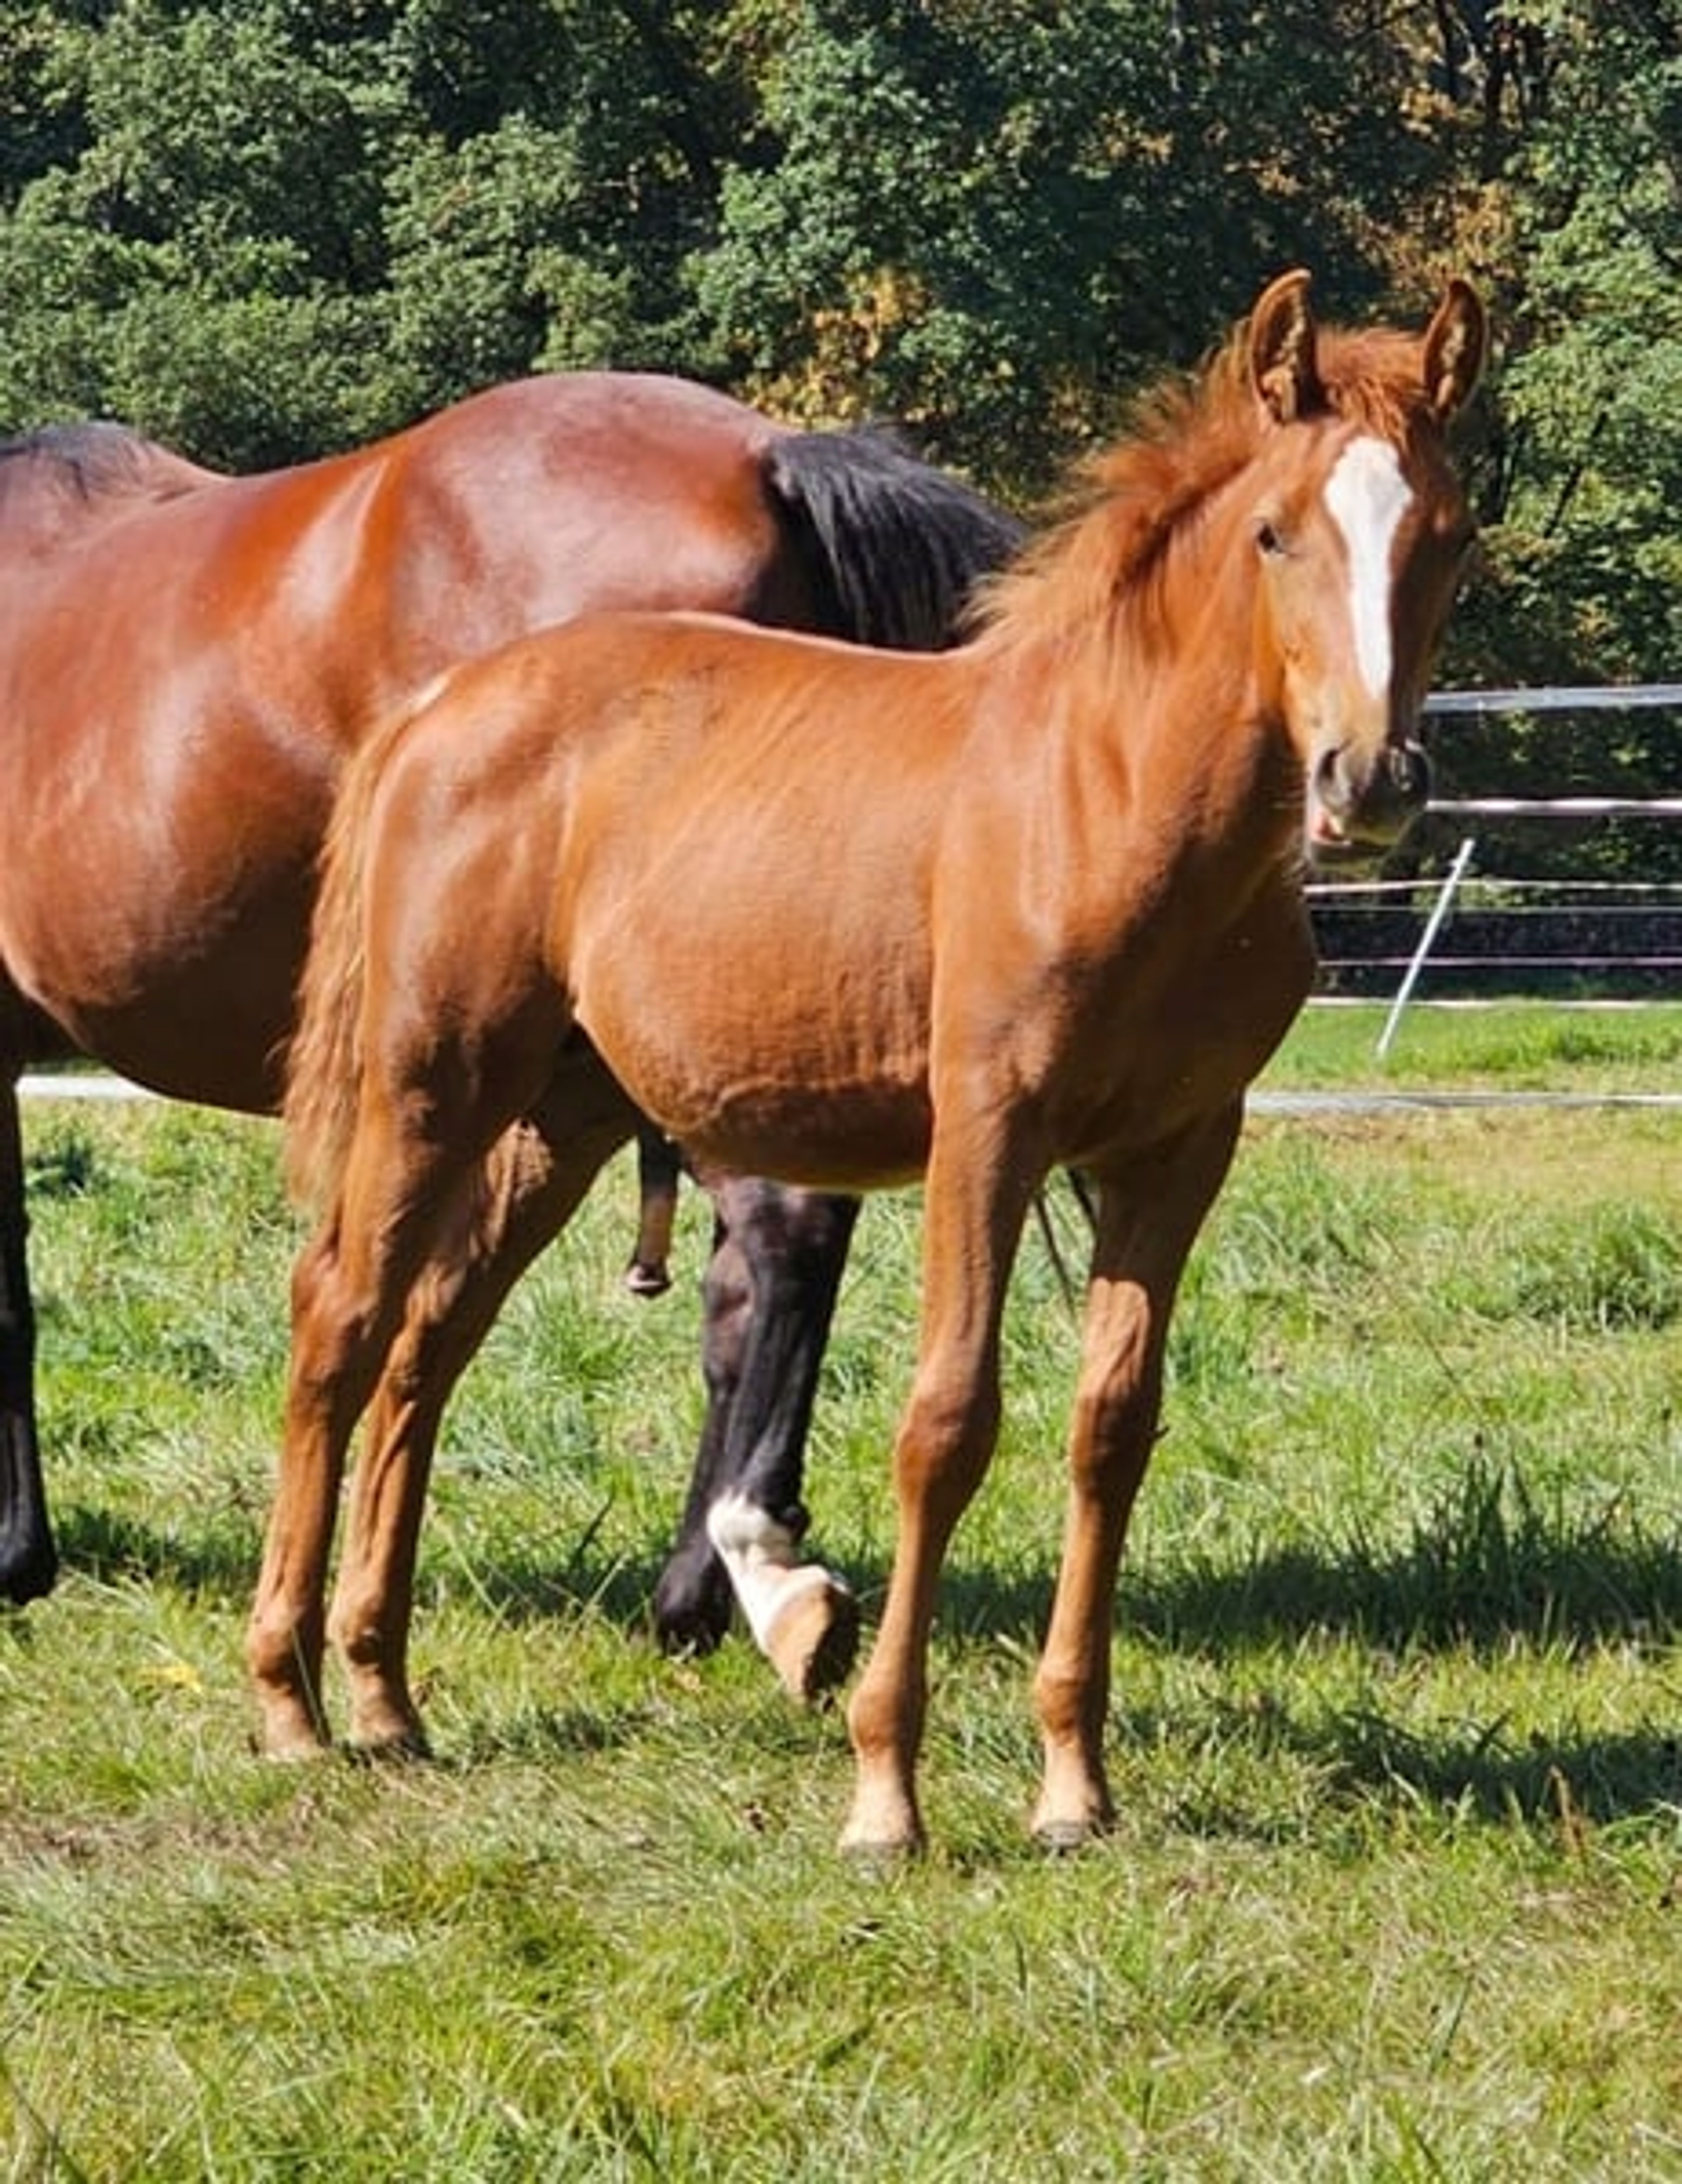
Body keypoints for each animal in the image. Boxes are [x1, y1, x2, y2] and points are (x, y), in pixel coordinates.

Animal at [0, 375, 1024, 1705]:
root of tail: (763, 458)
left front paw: (19, 1552)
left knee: (784, 1240)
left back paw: (753, 1571)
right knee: (743, 1291)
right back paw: (695, 1591)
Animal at [270, 269, 1486, 1852]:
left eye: (1449, 533)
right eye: (1277, 531)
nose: (1370, 779)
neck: (1111, 802)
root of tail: (435, 712)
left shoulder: (1177, 1150)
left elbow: (1113, 1428)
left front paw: (1074, 1785)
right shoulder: (989, 1126)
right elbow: (946, 1423)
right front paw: (884, 1789)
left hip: (560, 1112)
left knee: (429, 1337)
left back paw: (384, 1695)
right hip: (431, 1080)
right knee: (342, 1316)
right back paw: (290, 1700)